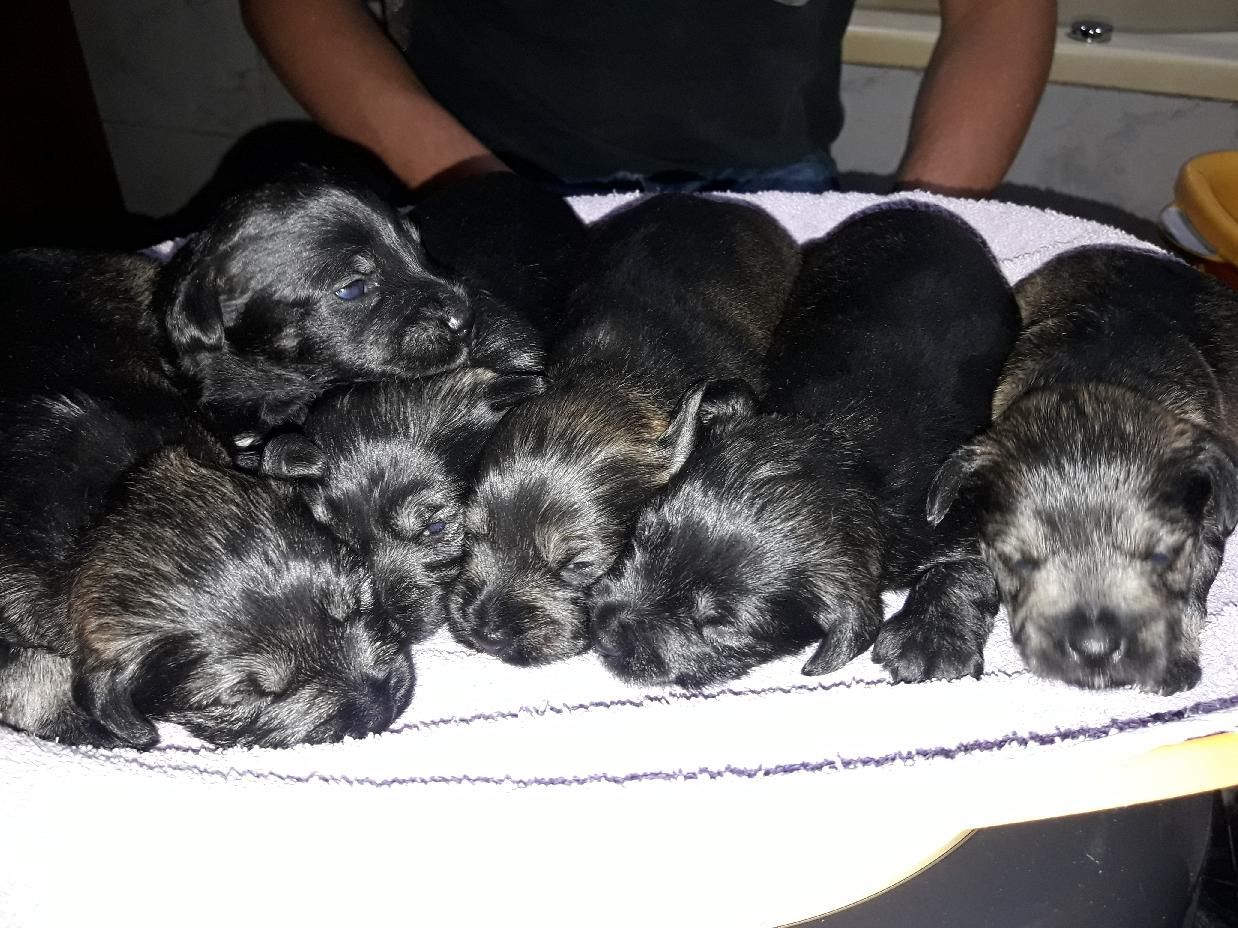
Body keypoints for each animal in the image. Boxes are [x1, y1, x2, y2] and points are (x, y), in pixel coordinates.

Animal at [590, 204, 1021, 688]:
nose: (604, 633)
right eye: (641, 536)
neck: (844, 443)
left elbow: (972, 564)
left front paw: (933, 640)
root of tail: (919, 210)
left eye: (720, 625)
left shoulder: (952, 499)